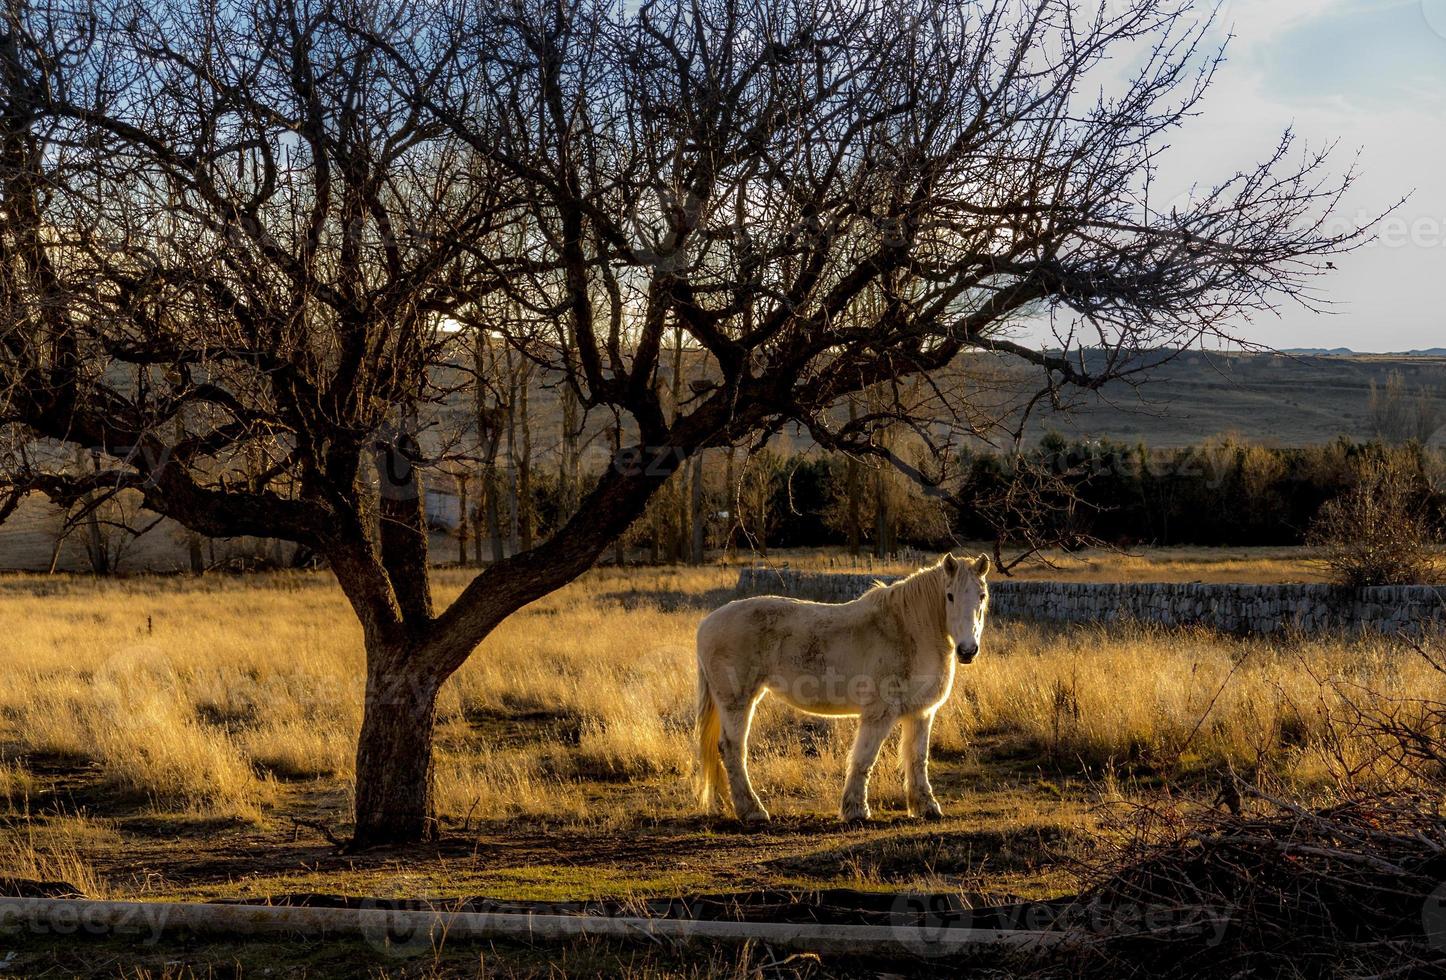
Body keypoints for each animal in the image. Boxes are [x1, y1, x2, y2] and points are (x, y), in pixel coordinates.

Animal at [691, 557, 989, 826]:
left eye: (982, 596)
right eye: (949, 596)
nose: (967, 650)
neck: (907, 629)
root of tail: (706, 623)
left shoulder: (921, 713)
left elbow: (917, 759)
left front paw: (926, 807)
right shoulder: (879, 713)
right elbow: (864, 758)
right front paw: (856, 811)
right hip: (737, 702)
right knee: (733, 749)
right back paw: (752, 811)